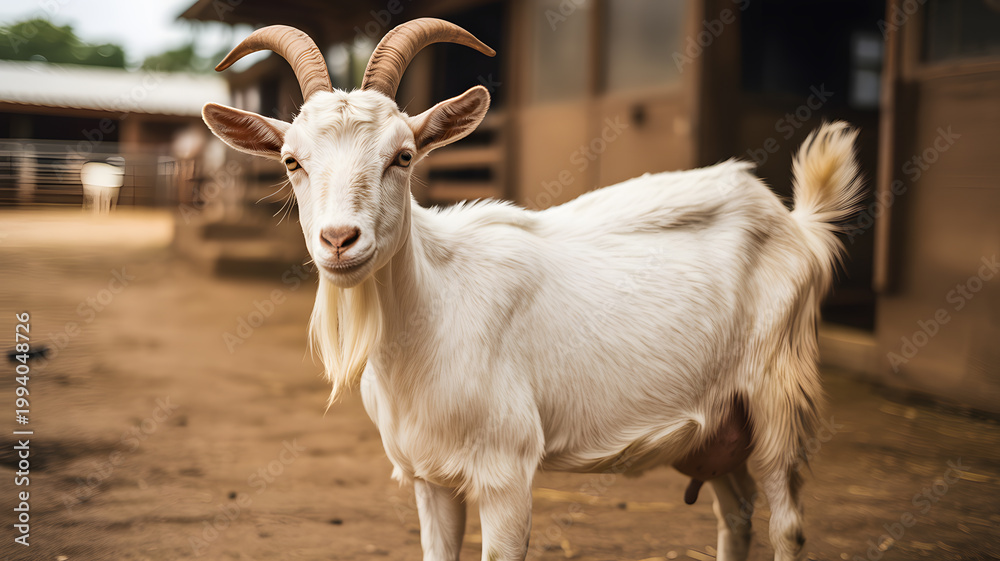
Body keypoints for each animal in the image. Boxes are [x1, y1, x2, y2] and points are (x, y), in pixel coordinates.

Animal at [202, 19, 863, 561]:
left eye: (404, 156)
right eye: (292, 161)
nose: (339, 240)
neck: (432, 316)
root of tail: (796, 222)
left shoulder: (507, 473)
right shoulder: (429, 478)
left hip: (778, 395)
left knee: (786, 524)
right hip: (720, 425)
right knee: (738, 513)